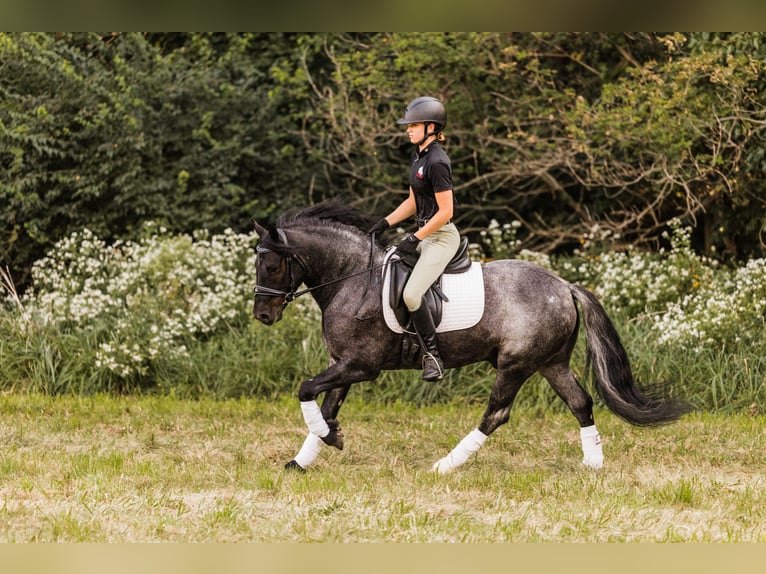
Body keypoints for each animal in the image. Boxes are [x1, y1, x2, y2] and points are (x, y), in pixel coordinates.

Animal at [252, 200, 689, 473]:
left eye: (272, 265)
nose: (262, 315)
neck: (352, 278)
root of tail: (564, 286)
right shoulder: (342, 363)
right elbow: (325, 406)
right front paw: (303, 459)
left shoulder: (361, 366)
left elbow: (306, 390)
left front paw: (330, 441)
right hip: (551, 362)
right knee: (580, 402)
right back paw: (593, 464)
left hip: (515, 363)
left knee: (496, 413)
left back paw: (445, 464)